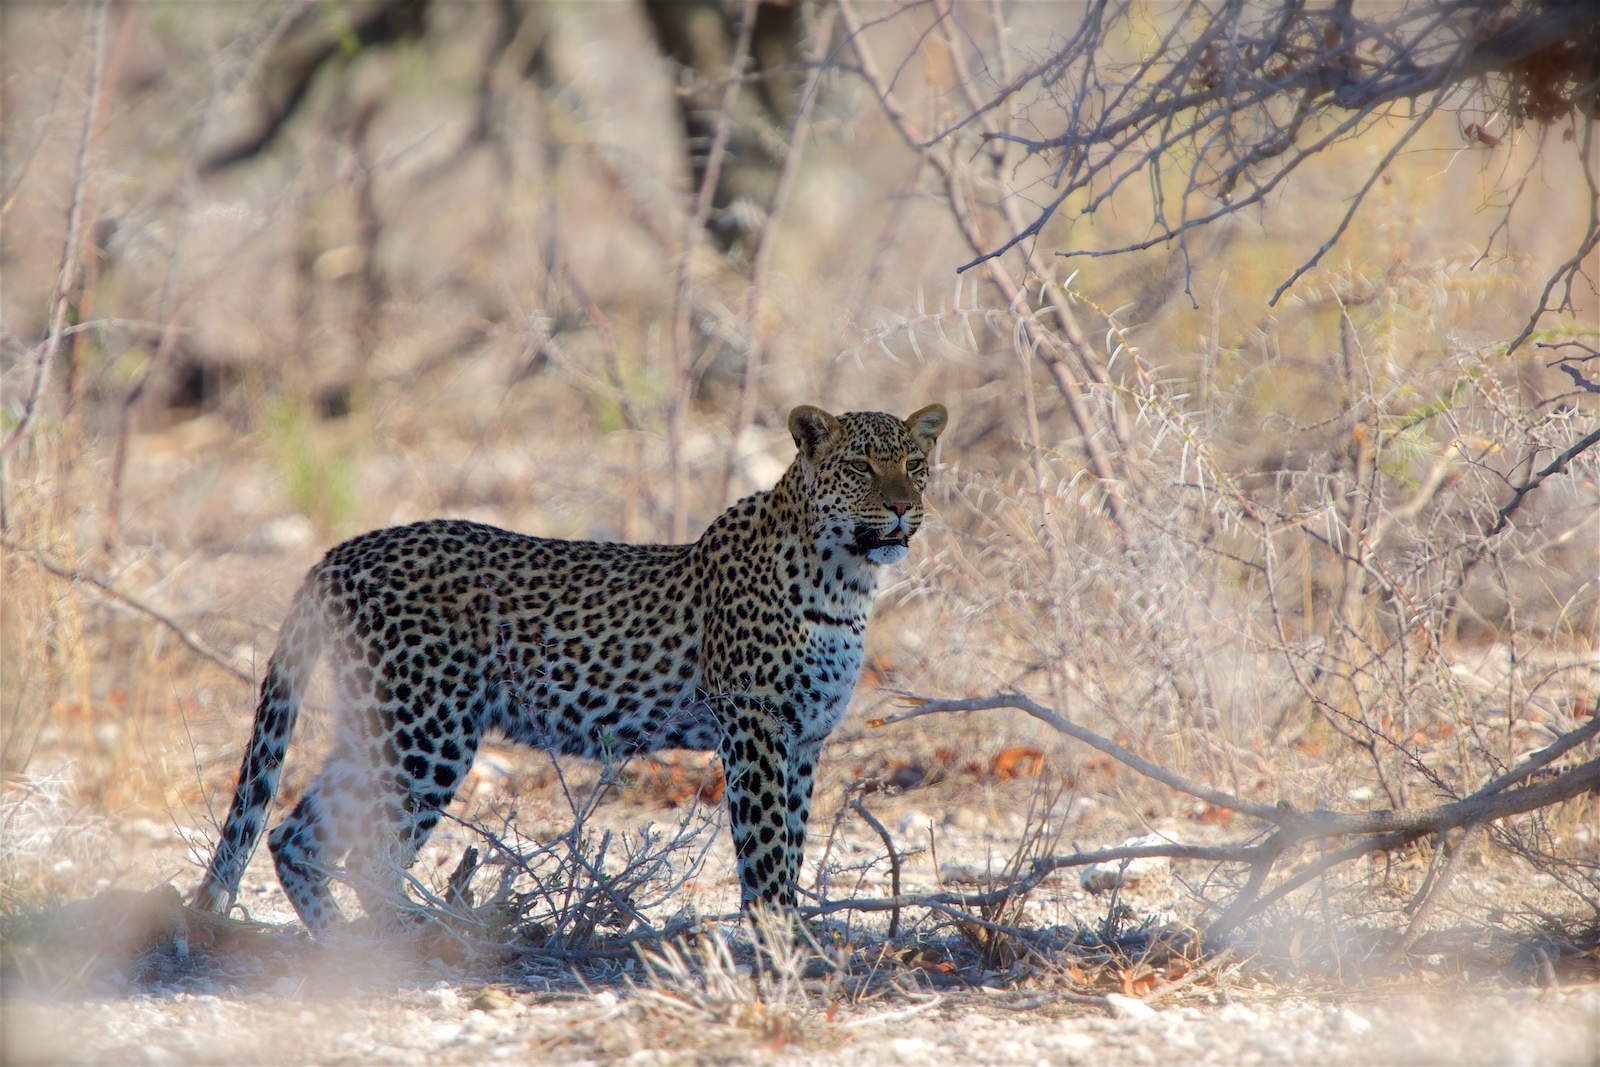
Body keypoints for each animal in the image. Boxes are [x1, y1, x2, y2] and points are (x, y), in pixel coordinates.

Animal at [192, 404, 940, 940]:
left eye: (915, 463)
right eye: (862, 465)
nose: (904, 507)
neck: (846, 583)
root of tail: (339, 552)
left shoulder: (803, 739)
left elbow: (791, 841)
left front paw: (790, 935)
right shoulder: (755, 728)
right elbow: (763, 848)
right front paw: (778, 939)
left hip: (381, 727)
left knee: (295, 835)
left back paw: (344, 945)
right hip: (427, 732)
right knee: (367, 852)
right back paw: (412, 940)